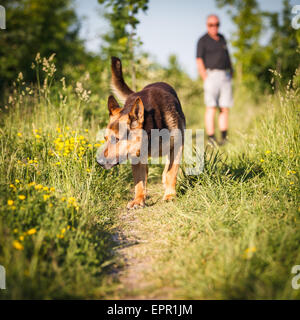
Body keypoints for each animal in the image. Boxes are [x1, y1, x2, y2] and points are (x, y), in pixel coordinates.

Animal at [96, 57, 185, 210]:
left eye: (117, 139)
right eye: (105, 138)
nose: (99, 162)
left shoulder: (177, 146)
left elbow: (171, 172)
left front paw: (170, 195)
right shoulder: (136, 157)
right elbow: (139, 182)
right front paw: (138, 200)